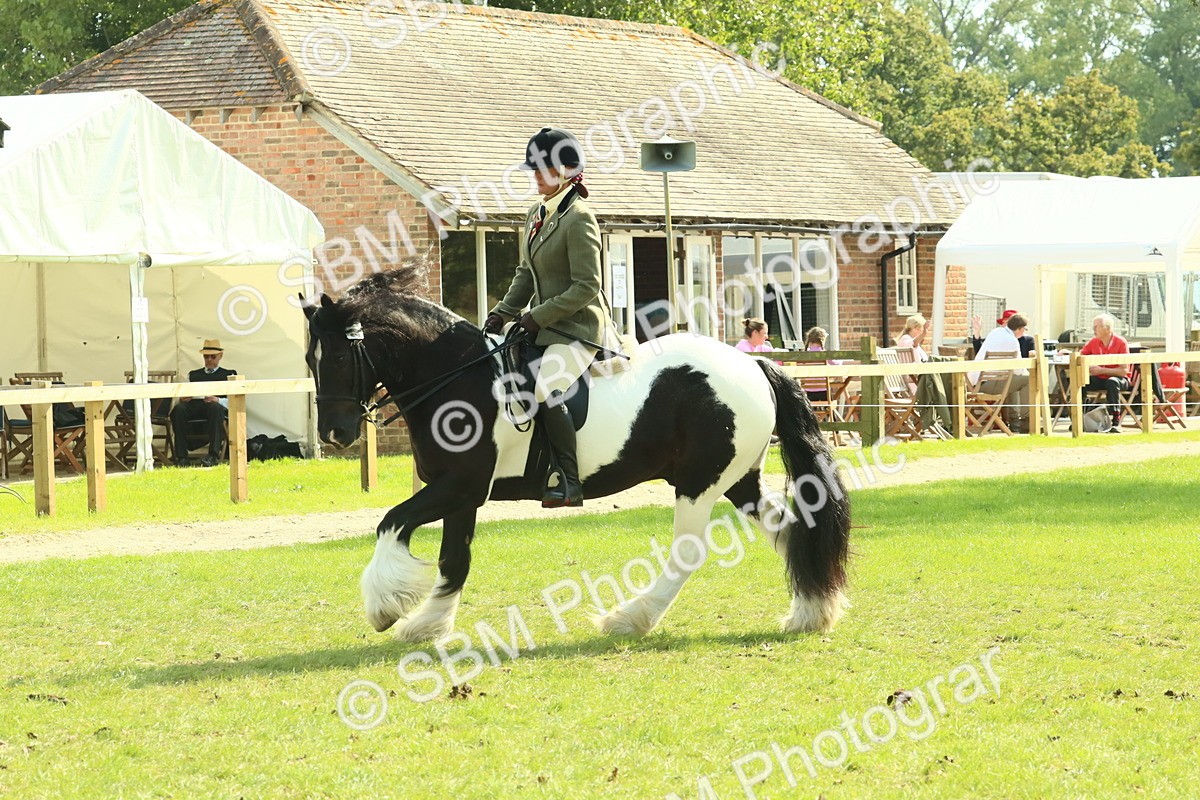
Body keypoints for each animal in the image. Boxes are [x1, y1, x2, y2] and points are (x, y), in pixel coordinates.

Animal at [304, 268, 850, 643]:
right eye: (310, 359)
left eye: (338, 356)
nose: (335, 433)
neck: (459, 376)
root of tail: (753, 365)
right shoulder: (462, 493)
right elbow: (454, 559)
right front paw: (428, 625)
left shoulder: (459, 485)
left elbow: (392, 522)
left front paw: (386, 608)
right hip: (737, 479)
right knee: (791, 529)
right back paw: (810, 613)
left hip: (699, 483)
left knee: (689, 552)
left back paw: (629, 619)